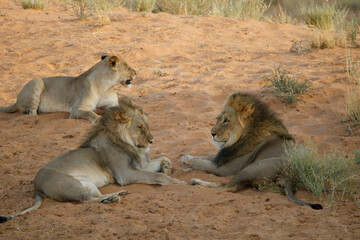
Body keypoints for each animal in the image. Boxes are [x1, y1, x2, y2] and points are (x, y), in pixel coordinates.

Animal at [0, 55, 136, 123]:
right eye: (126, 65)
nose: (136, 73)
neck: (105, 86)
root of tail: (16, 100)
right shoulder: (77, 109)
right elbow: (90, 113)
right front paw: (98, 119)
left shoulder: (112, 104)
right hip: (37, 81)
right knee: (30, 114)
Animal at [0, 96, 186, 223]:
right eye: (140, 127)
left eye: (147, 126)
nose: (152, 141)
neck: (127, 142)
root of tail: (36, 186)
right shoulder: (125, 174)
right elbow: (158, 176)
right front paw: (178, 182)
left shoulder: (138, 165)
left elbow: (164, 158)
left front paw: (166, 167)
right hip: (70, 185)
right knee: (86, 200)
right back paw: (113, 198)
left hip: (87, 185)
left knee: (94, 196)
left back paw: (115, 196)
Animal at [183, 92, 324, 210]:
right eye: (218, 119)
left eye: (226, 121)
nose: (212, 133)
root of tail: (292, 176)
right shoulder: (224, 156)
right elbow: (208, 156)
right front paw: (186, 157)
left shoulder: (225, 168)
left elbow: (202, 163)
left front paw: (192, 162)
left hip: (250, 168)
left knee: (229, 187)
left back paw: (197, 182)